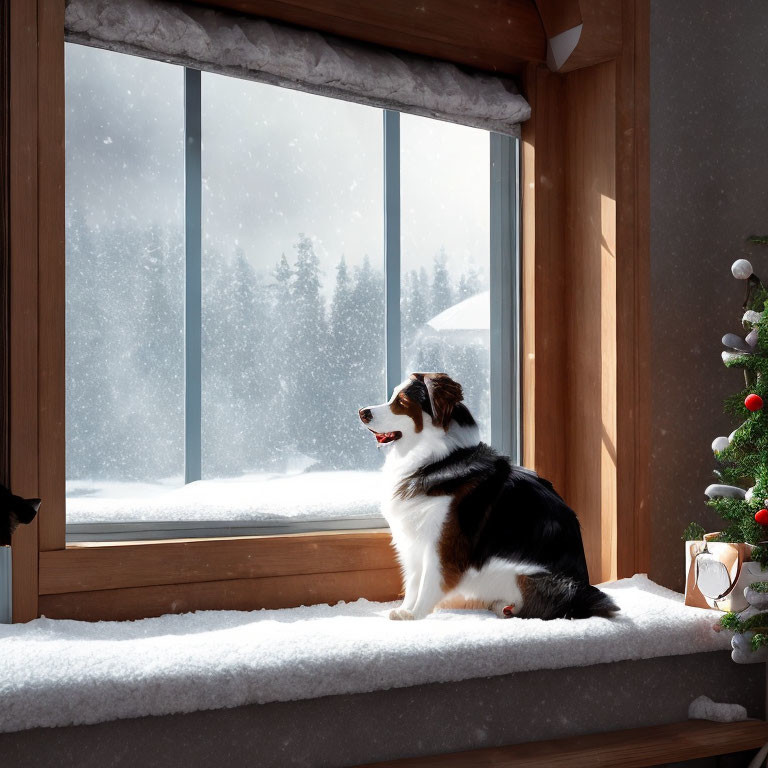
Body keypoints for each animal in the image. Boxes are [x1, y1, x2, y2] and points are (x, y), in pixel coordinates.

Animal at [358, 376, 616, 620]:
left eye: (402, 402)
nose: (362, 412)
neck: (437, 460)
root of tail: (583, 592)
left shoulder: (442, 544)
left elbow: (429, 581)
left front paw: (415, 614)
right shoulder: (413, 541)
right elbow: (413, 581)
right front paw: (405, 610)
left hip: (528, 576)